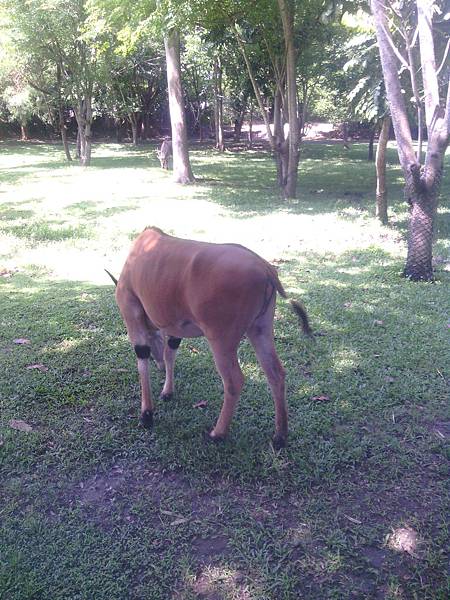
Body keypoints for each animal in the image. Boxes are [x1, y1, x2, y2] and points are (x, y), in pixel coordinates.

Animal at [109, 227, 312, 448]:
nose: (159, 366)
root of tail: (265, 268)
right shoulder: (174, 327)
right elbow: (170, 353)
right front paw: (167, 392)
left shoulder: (131, 309)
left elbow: (142, 358)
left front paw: (146, 415)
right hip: (260, 329)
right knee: (275, 373)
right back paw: (280, 435)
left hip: (221, 340)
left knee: (234, 380)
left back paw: (218, 433)